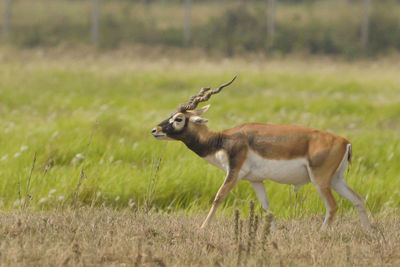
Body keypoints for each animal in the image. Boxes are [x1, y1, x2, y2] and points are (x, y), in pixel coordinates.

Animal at [151, 76, 372, 231]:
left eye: (179, 119)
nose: (155, 130)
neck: (222, 140)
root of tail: (345, 142)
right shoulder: (255, 180)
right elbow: (266, 206)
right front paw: (272, 232)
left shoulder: (234, 172)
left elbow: (218, 197)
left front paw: (202, 228)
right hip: (336, 179)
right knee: (358, 199)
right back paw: (370, 233)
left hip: (320, 180)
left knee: (333, 206)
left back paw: (321, 233)